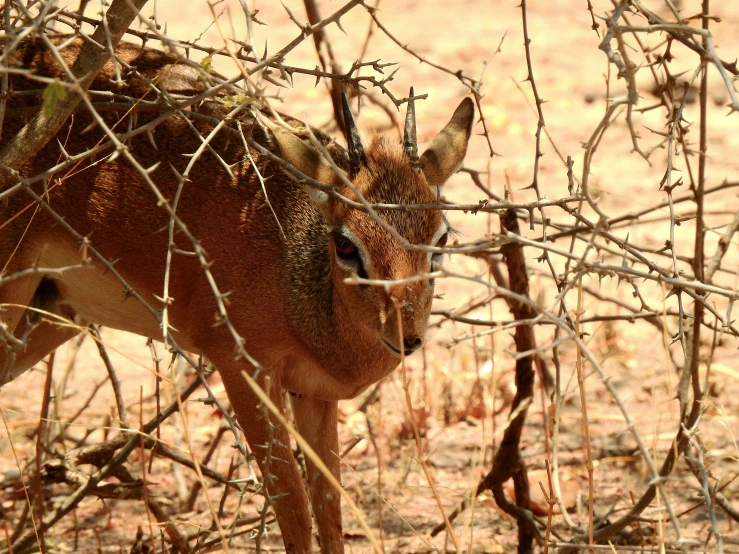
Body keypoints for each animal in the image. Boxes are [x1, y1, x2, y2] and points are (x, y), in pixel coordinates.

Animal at [0, 36, 474, 548]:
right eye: (346, 243)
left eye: (440, 239)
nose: (407, 336)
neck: (298, 287)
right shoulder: (243, 369)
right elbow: (293, 511)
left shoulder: (314, 393)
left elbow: (329, 511)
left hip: (50, 316)